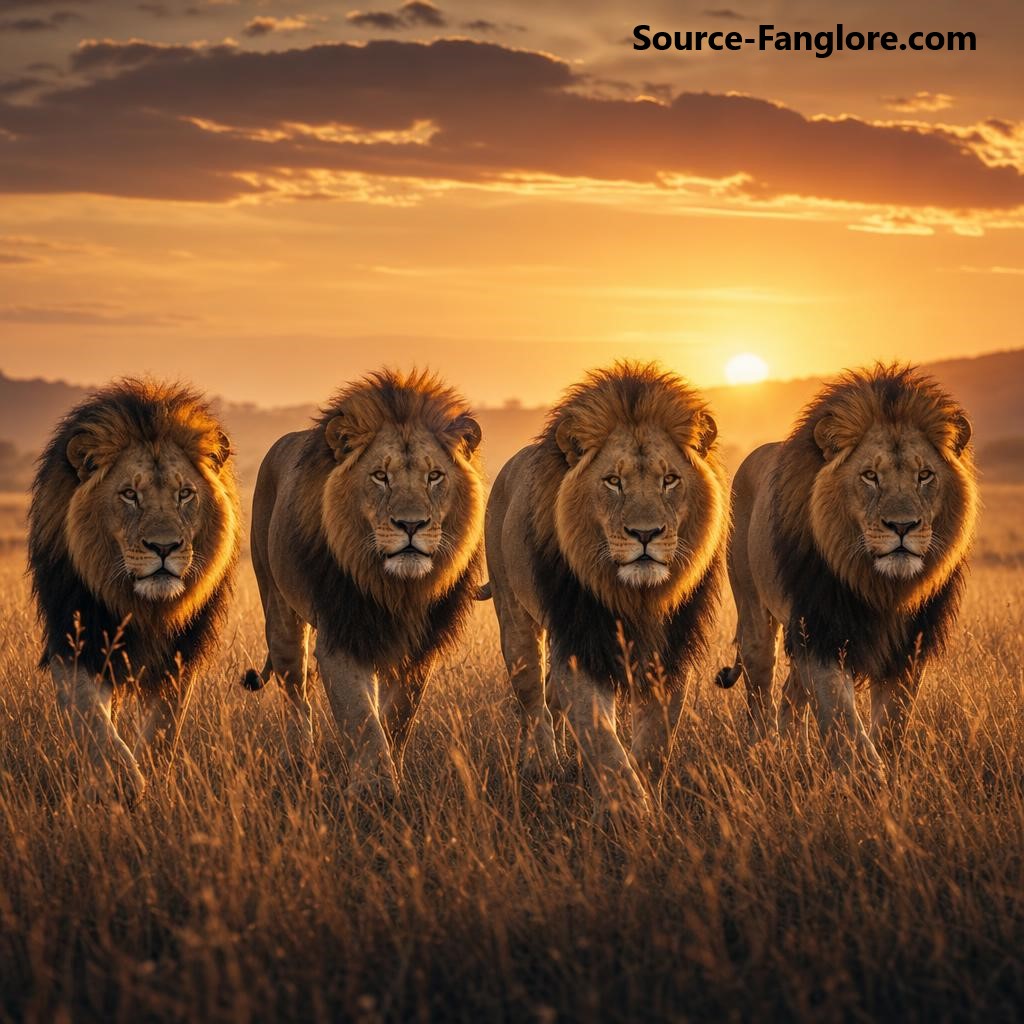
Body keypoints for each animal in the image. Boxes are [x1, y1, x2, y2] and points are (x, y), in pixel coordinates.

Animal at [28, 379, 240, 804]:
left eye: (184, 494)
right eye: (129, 494)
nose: (164, 547)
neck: (144, 607)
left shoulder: (181, 653)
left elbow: (165, 727)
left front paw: (153, 782)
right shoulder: (75, 641)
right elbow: (92, 721)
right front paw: (122, 780)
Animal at [242, 368, 484, 800]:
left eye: (434, 476)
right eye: (381, 476)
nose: (411, 525)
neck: (396, 587)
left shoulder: (418, 646)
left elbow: (397, 717)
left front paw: (389, 775)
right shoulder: (343, 634)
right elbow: (361, 717)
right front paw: (374, 789)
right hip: (279, 613)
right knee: (295, 692)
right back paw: (299, 759)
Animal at [484, 362, 727, 818]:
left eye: (670, 480)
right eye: (613, 481)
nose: (645, 534)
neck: (636, 596)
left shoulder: (670, 650)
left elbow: (655, 742)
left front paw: (644, 802)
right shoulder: (582, 643)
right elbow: (602, 738)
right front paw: (626, 812)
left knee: (550, 695)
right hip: (515, 619)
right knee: (532, 700)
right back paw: (541, 764)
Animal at [715, 363, 978, 784]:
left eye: (925, 475)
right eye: (870, 475)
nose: (902, 526)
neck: (882, 586)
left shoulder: (908, 644)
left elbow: (891, 723)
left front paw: (887, 778)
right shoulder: (822, 631)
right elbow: (843, 717)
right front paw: (867, 780)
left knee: (790, 696)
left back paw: (796, 754)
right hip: (756, 614)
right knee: (761, 691)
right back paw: (760, 754)